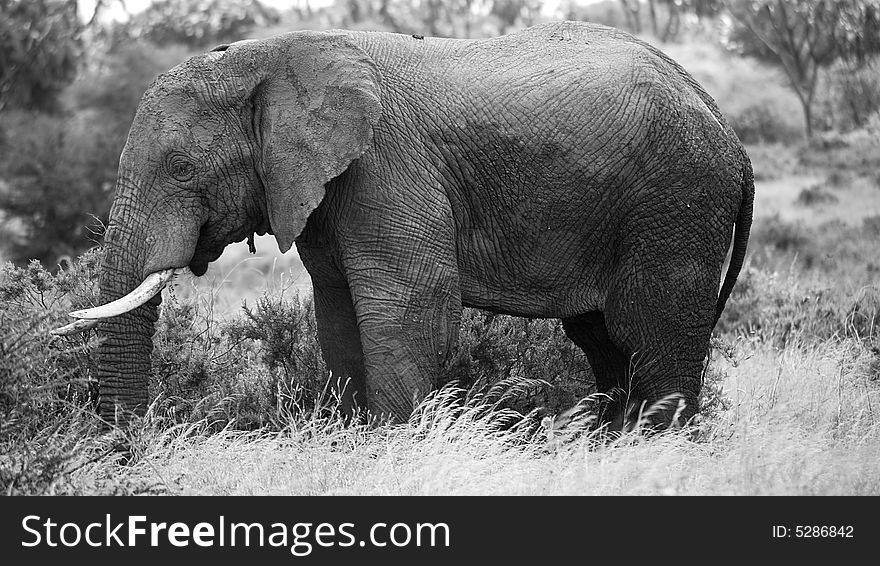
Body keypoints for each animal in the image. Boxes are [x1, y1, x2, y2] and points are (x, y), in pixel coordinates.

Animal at [58, 21, 752, 430]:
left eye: (181, 168)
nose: (132, 442)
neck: (274, 54)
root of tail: (730, 131)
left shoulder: (385, 166)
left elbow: (410, 307)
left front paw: (394, 442)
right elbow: (338, 314)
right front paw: (350, 435)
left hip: (677, 202)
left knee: (651, 335)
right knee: (604, 340)